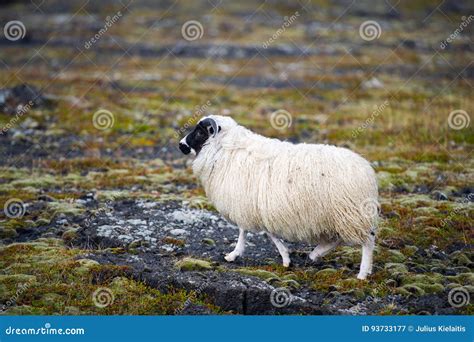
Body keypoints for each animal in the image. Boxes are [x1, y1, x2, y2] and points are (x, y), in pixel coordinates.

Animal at [180, 116, 380, 280]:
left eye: (200, 131)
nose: (181, 145)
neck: (224, 150)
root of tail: (367, 171)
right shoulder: (256, 206)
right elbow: (267, 232)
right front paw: (286, 257)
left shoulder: (246, 204)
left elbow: (248, 231)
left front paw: (234, 254)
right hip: (339, 215)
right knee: (337, 239)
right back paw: (315, 255)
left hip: (351, 213)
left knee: (367, 242)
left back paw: (362, 273)